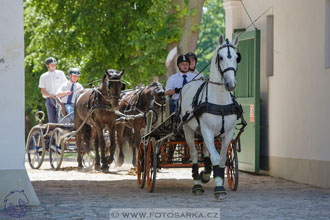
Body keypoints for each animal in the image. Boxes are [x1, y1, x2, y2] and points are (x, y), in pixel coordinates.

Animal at [179, 34, 241, 199]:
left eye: (237, 57)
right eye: (220, 57)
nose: (231, 84)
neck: (219, 101)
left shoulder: (227, 133)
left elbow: (222, 158)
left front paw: (217, 178)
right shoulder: (207, 130)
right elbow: (215, 157)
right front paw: (219, 188)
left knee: (205, 150)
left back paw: (206, 173)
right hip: (188, 129)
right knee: (194, 154)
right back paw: (197, 184)